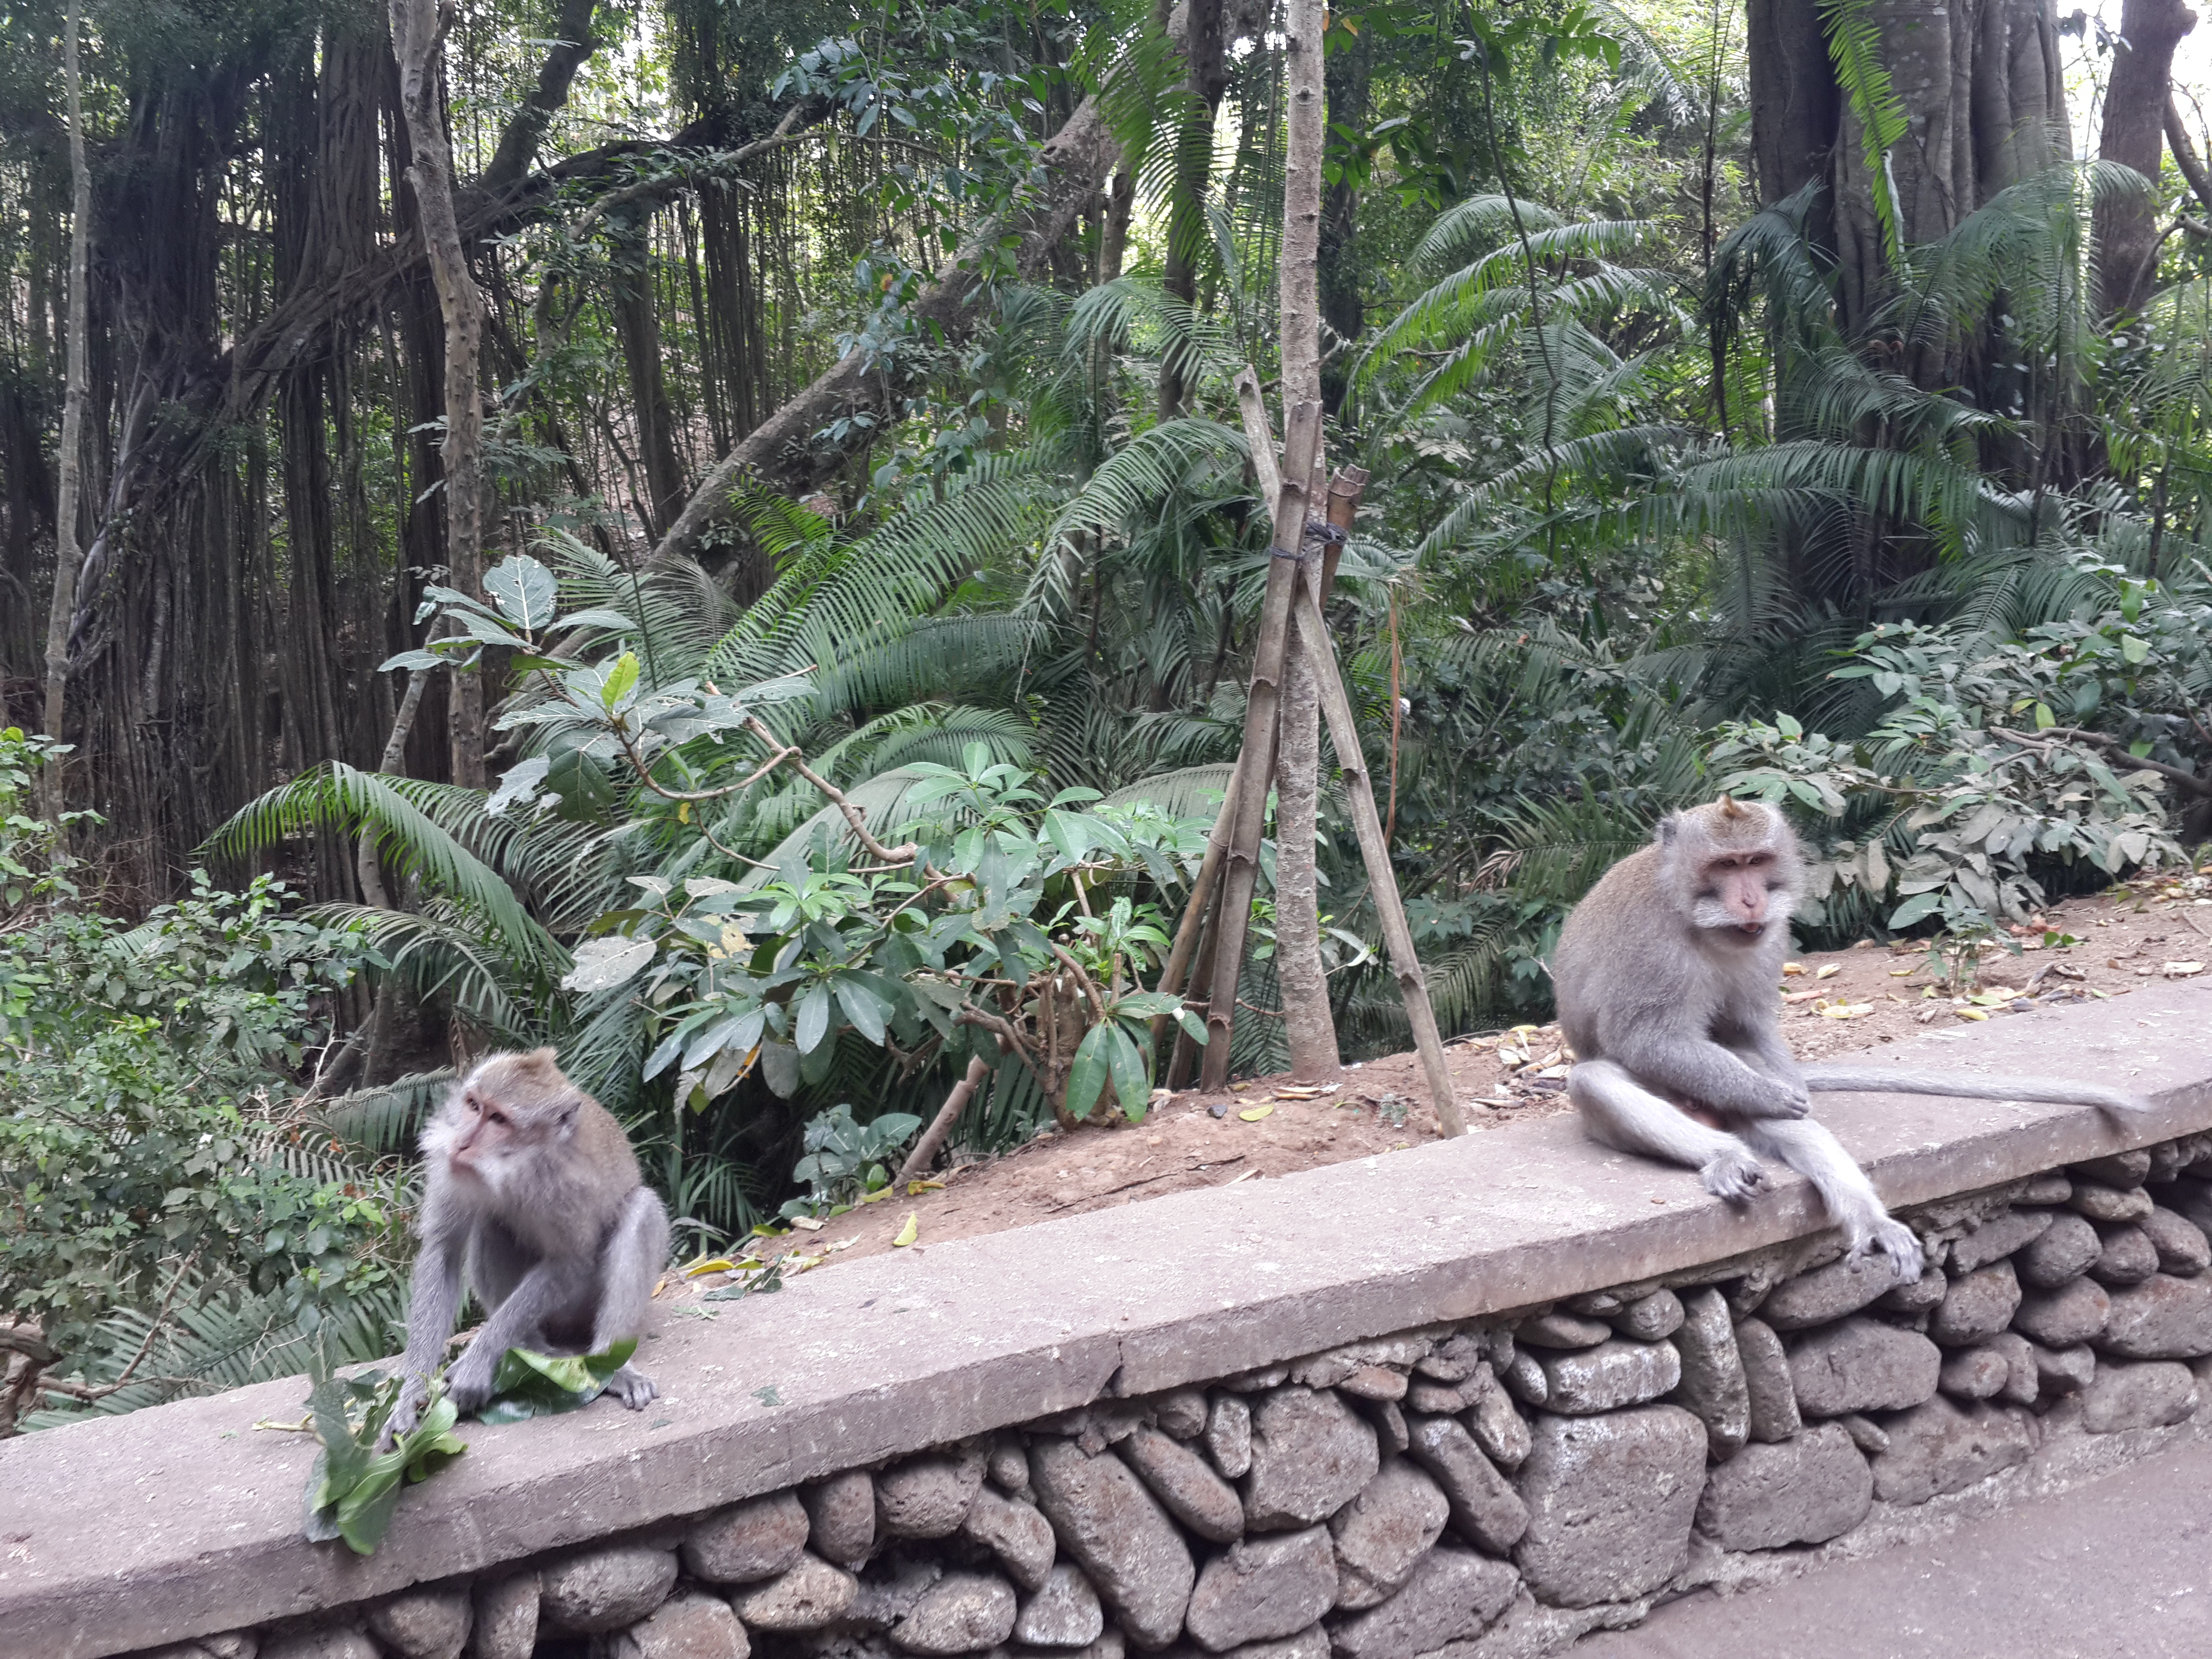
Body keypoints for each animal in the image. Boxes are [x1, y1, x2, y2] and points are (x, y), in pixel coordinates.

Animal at [385, 1057, 668, 1451]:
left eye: (498, 1119)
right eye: (474, 1106)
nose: (461, 1143)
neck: (518, 1167)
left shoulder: (569, 1185)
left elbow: (571, 1261)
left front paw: (477, 1362)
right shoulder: (453, 1169)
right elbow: (444, 1250)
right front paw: (411, 1392)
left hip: (580, 1311)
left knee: (642, 1210)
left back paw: (612, 1366)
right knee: (492, 1222)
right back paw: (528, 1347)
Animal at [1548, 801, 2150, 1283]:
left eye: (1756, 862)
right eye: (1724, 866)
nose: (1751, 902)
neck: (1697, 919)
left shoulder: (1770, 939)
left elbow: (1751, 1029)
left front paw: (1783, 1087)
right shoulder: (1650, 948)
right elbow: (1646, 1040)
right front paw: (1769, 1093)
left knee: (1783, 1118)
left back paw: (1869, 1218)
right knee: (1597, 1078)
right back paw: (1724, 1155)